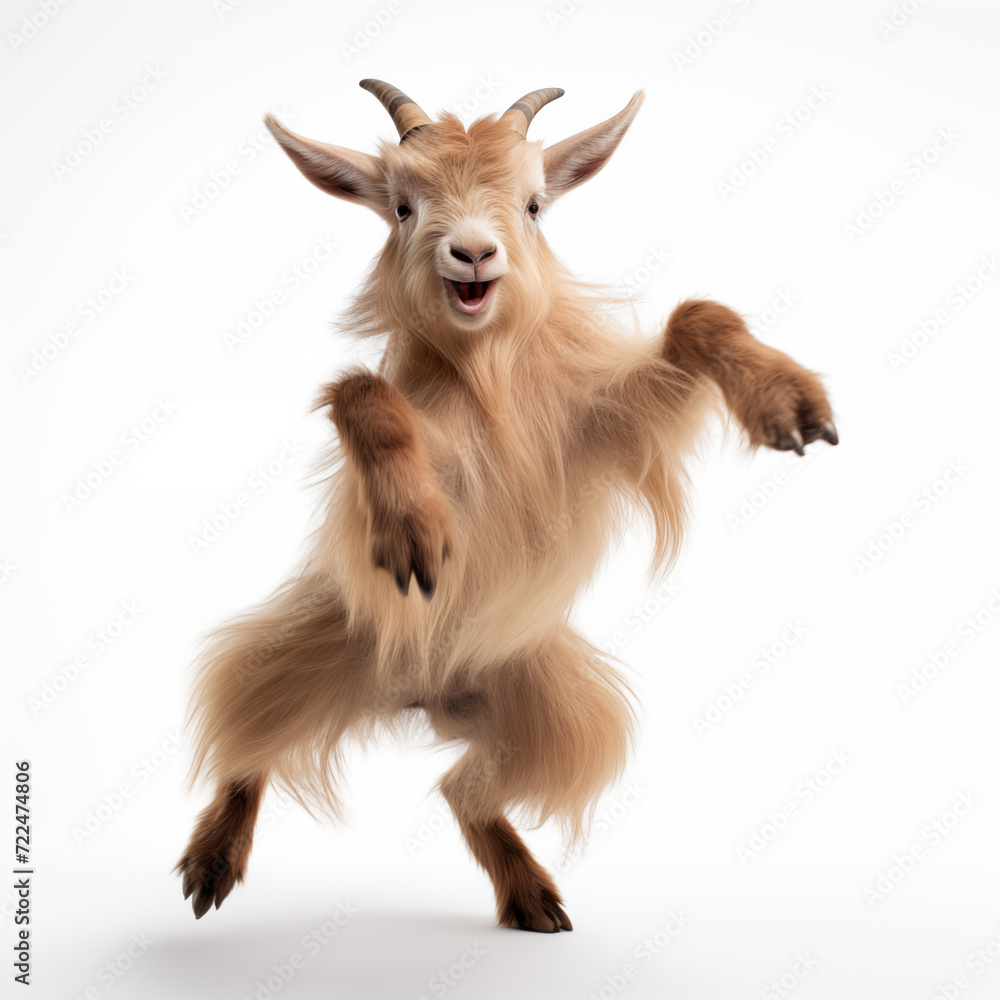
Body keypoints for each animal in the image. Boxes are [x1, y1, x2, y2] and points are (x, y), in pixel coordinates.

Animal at [176, 80, 837, 933]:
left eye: (533, 205)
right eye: (402, 207)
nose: (473, 253)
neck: (487, 381)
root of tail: (418, 696)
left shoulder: (598, 432)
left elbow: (697, 316)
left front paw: (788, 400)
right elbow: (362, 392)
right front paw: (413, 528)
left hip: (556, 706)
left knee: (467, 786)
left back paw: (530, 892)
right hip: (310, 644)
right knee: (246, 742)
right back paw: (212, 859)